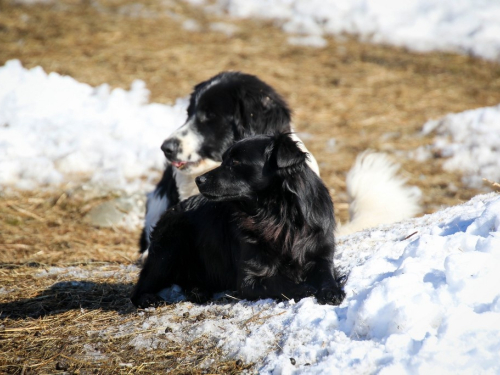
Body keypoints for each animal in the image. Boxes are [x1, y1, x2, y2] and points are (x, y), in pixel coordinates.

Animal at [131, 134, 346, 310]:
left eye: (235, 162)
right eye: (223, 159)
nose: (199, 180)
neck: (277, 215)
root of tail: (171, 210)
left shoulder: (321, 253)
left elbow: (326, 274)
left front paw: (332, 291)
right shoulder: (249, 279)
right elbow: (279, 282)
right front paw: (304, 288)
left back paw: (198, 291)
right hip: (168, 252)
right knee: (141, 285)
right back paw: (148, 298)